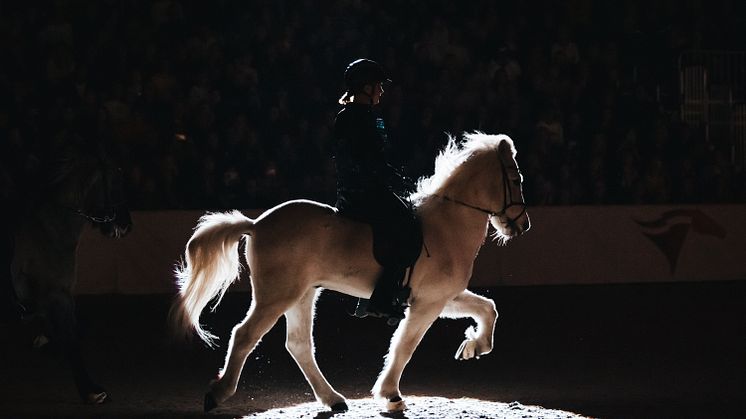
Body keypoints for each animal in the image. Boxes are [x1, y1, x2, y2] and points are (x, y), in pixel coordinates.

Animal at [6, 144, 132, 404]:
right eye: (116, 183)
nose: (126, 225)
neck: (48, 230)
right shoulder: (58, 295)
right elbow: (72, 340)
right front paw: (91, 391)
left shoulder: (51, 299)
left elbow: (71, 331)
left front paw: (46, 343)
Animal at [169, 132, 528, 414]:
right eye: (516, 180)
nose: (522, 226)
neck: (448, 224)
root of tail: (256, 224)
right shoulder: (427, 304)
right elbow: (405, 345)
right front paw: (391, 395)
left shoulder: (443, 297)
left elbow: (488, 308)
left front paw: (474, 347)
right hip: (276, 295)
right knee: (245, 335)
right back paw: (217, 394)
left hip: (303, 295)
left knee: (299, 345)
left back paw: (334, 400)